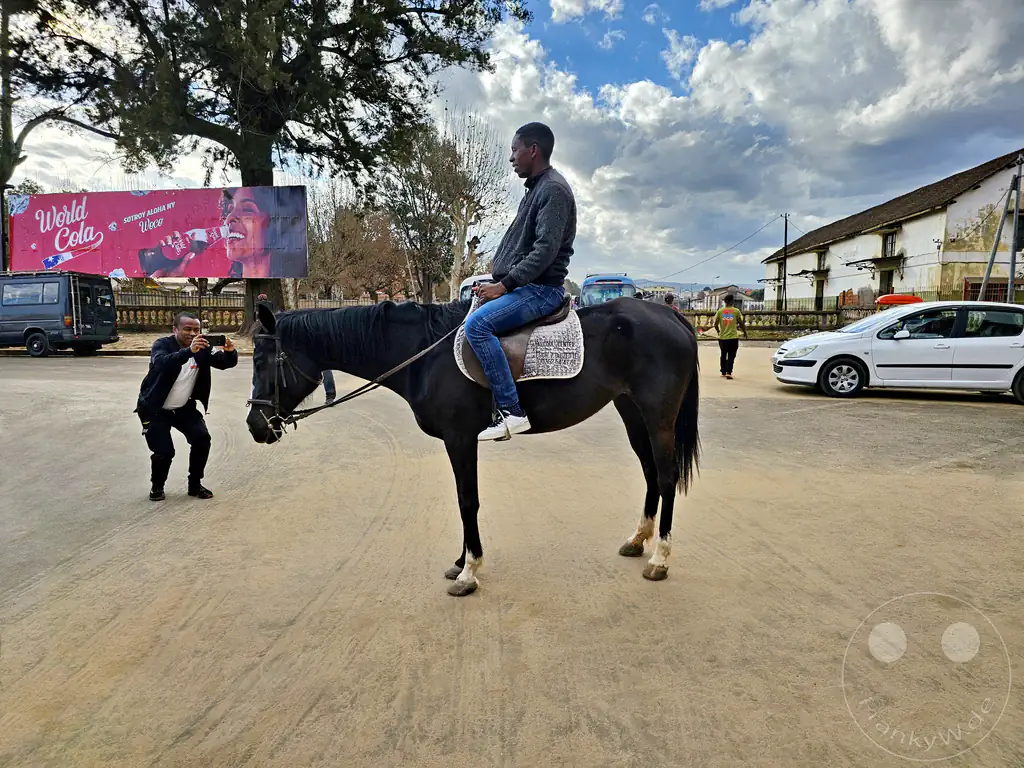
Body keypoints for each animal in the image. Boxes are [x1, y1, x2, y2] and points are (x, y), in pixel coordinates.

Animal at [246, 297, 701, 597]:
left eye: (263, 361)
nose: (256, 426)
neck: (423, 355)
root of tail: (669, 313)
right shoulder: (459, 441)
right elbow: (464, 499)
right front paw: (462, 561)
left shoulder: (461, 438)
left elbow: (468, 500)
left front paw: (470, 571)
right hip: (631, 411)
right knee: (649, 473)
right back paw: (638, 540)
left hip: (658, 415)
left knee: (665, 476)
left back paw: (660, 558)